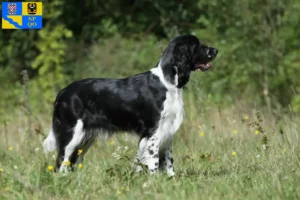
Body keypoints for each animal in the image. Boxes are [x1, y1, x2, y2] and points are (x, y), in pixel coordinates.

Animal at [42, 35, 218, 176]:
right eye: (197, 45)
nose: (216, 50)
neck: (167, 83)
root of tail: (63, 92)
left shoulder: (167, 130)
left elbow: (168, 160)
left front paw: (171, 178)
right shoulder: (153, 131)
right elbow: (153, 159)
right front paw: (154, 180)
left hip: (85, 137)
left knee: (73, 160)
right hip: (71, 133)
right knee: (61, 160)